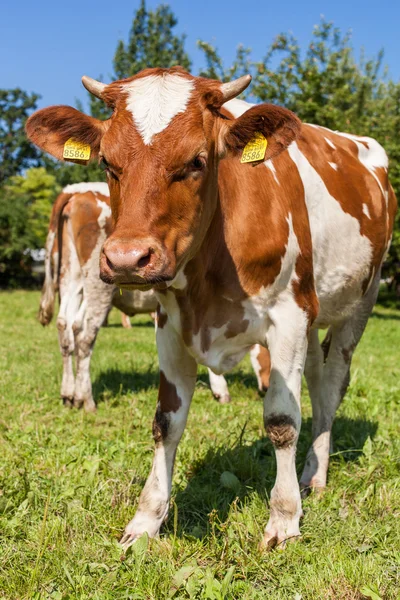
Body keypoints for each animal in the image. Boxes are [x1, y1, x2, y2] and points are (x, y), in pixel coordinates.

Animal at [40, 184, 270, 412]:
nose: (266, 388)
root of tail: (76, 191)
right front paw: (220, 390)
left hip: (71, 278)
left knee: (67, 326)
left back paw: (69, 395)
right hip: (98, 286)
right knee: (85, 335)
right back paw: (86, 399)